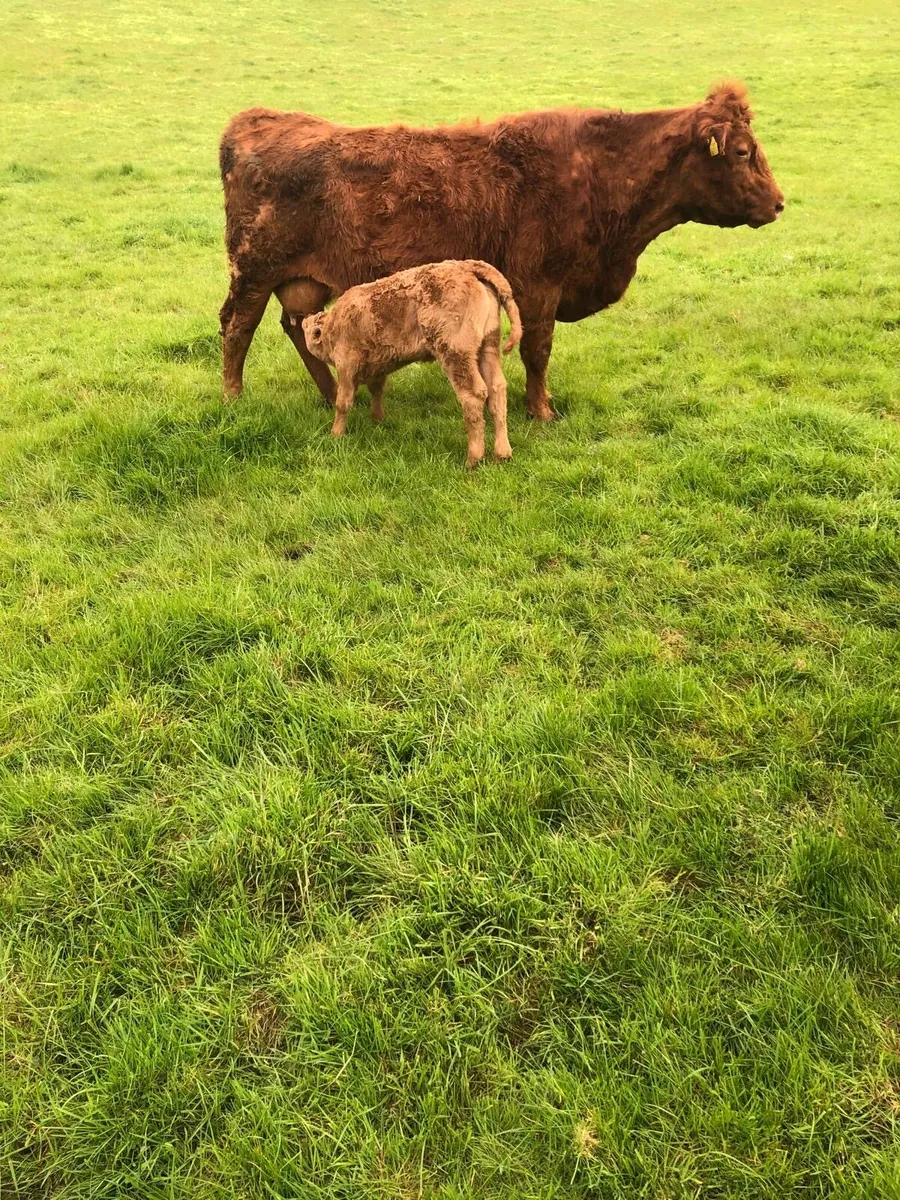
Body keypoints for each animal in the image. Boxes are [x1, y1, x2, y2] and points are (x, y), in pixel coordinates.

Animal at [218, 82, 783, 420]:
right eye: (741, 152)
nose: (778, 203)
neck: (597, 171)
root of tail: (255, 121)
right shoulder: (539, 286)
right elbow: (538, 350)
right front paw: (542, 411)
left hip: (301, 280)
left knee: (298, 328)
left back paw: (328, 393)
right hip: (253, 272)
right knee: (237, 328)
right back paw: (233, 398)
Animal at [301, 259, 522, 467]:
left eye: (308, 327)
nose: (304, 318)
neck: (333, 325)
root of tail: (468, 267)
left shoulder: (345, 365)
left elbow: (343, 402)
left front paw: (336, 434)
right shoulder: (378, 368)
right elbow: (377, 391)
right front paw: (377, 419)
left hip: (456, 353)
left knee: (473, 395)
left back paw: (473, 459)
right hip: (488, 347)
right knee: (496, 389)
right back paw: (502, 454)